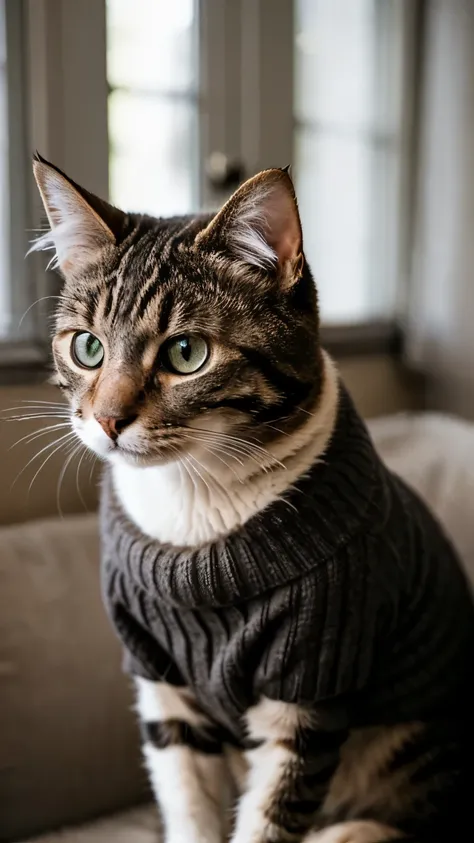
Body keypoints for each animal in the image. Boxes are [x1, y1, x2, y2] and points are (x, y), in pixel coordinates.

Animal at [30, 153, 474, 843]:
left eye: (186, 353)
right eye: (87, 346)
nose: (107, 420)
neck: (195, 504)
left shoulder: (314, 678)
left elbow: (268, 819)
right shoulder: (161, 682)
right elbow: (188, 805)